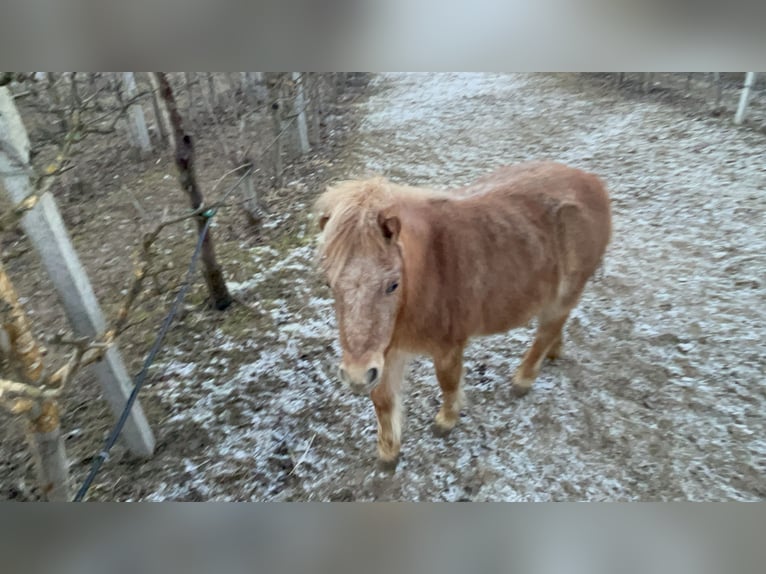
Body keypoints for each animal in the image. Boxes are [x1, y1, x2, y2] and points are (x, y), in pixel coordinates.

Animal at [314, 161, 612, 465]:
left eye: (393, 284)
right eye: (329, 284)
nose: (356, 377)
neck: (430, 269)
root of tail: (591, 182)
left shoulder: (448, 347)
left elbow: (448, 383)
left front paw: (446, 421)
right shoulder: (387, 350)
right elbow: (383, 400)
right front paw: (388, 452)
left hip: (565, 295)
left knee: (547, 331)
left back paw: (524, 379)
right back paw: (554, 352)